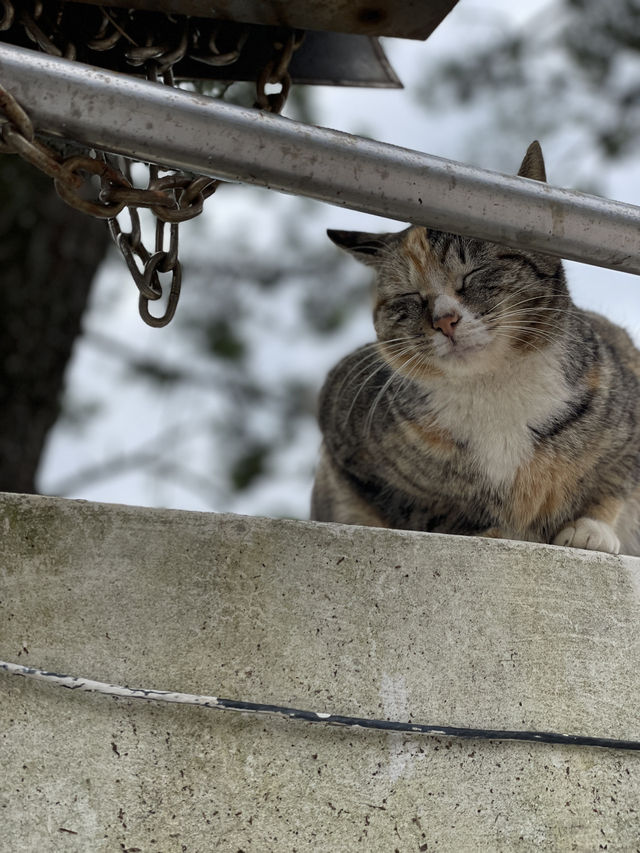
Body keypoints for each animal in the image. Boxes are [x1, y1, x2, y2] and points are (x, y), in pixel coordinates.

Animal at [312, 143, 640, 556]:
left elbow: (615, 479)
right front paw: (488, 531)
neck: (492, 388)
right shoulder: (346, 430)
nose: (444, 320)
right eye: (409, 296)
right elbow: (420, 509)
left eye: (472, 274)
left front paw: (590, 528)